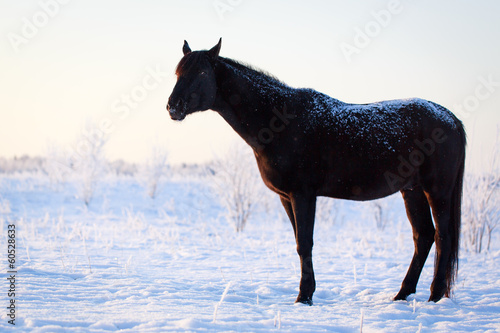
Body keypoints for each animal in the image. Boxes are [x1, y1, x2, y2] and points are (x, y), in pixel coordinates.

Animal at [167, 38, 464, 304]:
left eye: (202, 73)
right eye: (178, 73)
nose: (173, 106)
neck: (279, 122)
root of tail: (451, 119)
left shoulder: (303, 195)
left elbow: (305, 243)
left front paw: (304, 297)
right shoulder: (286, 197)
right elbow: (300, 242)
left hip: (437, 190)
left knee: (443, 237)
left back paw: (435, 296)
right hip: (411, 190)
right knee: (423, 236)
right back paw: (402, 294)